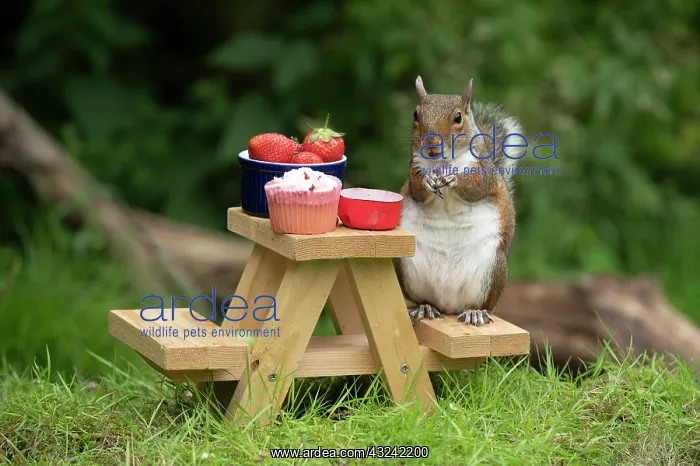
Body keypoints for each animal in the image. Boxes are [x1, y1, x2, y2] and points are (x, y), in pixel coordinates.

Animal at [395, 76, 522, 327]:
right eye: (416, 115)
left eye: (458, 117)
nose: (431, 147)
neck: (443, 163)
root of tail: (449, 304)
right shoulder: (414, 168)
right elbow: (417, 188)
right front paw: (428, 182)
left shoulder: (483, 170)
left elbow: (476, 187)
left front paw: (453, 179)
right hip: (408, 267)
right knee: (425, 300)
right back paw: (426, 308)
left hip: (490, 269)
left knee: (480, 304)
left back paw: (476, 312)